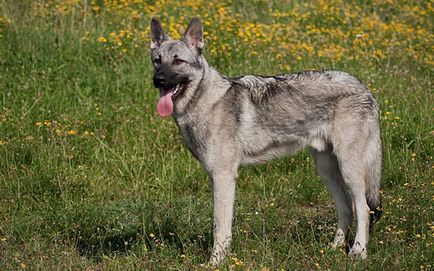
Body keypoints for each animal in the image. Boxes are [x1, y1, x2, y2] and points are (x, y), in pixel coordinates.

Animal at [150, 17, 384, 268]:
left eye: (178, 61)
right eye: (157, 61)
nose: (158, 80)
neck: (205, 102)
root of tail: (365, 89)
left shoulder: (223, 176)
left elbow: (219, 227)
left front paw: (216, 262)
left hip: (349, 168)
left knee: (363, 209)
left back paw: (358, 252)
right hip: (327, 170)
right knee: (346, 209)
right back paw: (332, 250)